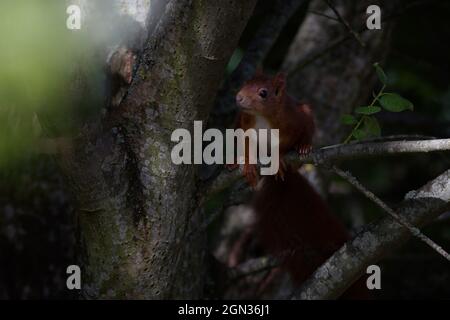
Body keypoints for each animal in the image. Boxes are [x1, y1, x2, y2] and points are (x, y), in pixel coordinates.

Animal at [230, 71, 368, 298]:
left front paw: (280, 157)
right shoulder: (244, 123)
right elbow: (246, 145)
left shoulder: (293, 122)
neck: (262, 117)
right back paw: (234, 162)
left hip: (307, 115)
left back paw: (303, 148)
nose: (238, 98)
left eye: (263, 93)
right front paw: (248, 164)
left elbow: (286, 144)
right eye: (244, 83)